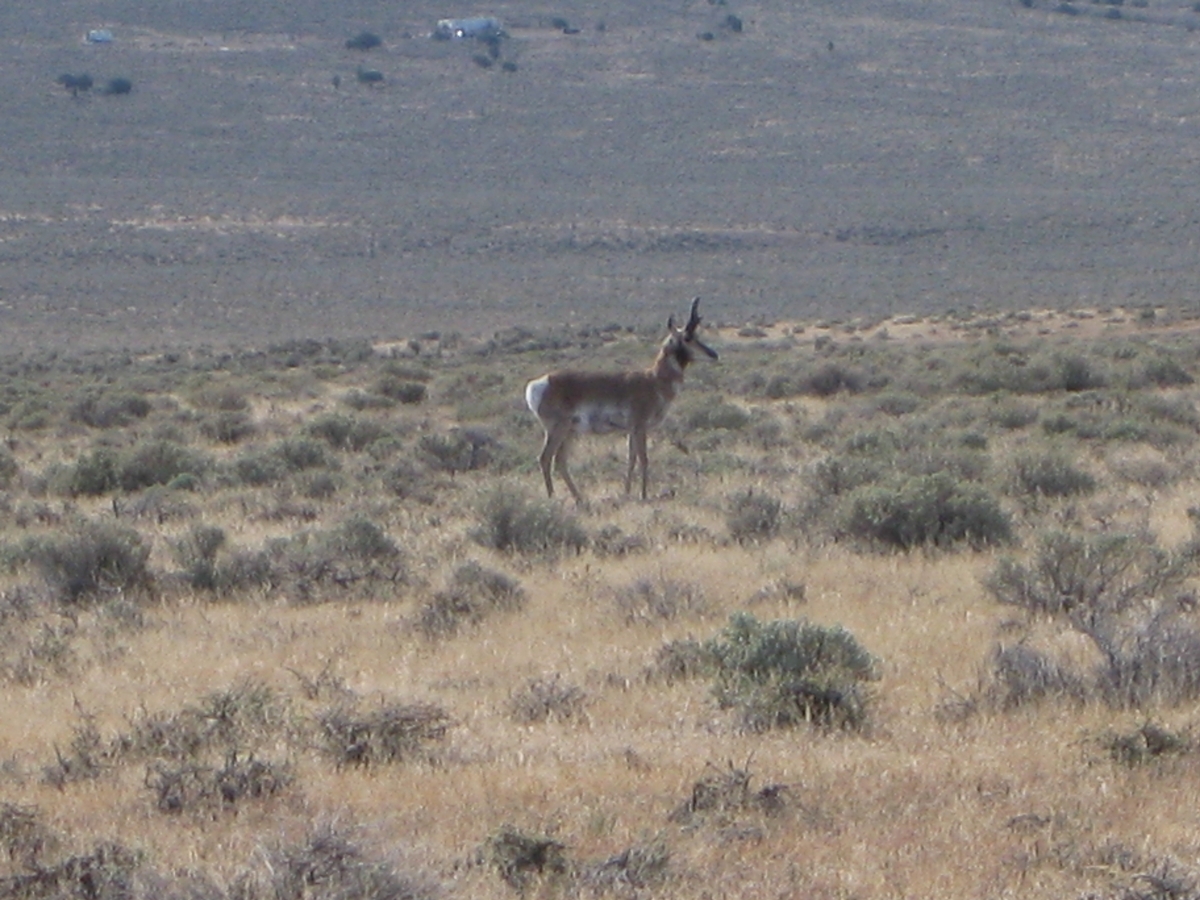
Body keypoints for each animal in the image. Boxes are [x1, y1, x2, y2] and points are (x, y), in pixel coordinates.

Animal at [523, 300, 710, 504]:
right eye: (688, 337)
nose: (713, 354)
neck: (653, 379)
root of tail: (539, 382)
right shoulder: (639, 427)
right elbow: (644, 459)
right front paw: (643, 495)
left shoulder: (631, 431)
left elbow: (631, 460)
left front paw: (627, 493)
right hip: (558, 429)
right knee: (545, 458)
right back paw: (552, 498)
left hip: (570, 432)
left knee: (560, 461)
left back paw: (580, 499)